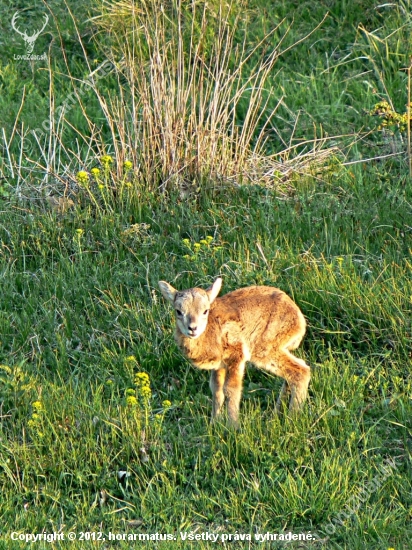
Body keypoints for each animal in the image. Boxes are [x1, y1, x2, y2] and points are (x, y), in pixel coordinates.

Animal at [159, 278, 310, 424]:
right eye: (178, 311)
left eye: (205, 311)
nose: (192, 328)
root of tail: (298, 318)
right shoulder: (219, 366)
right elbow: (216, 389)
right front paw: (214, 424)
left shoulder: (236, 356)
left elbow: (231, 389)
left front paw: (232, 426)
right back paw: (276, 415)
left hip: (265, 349)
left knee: (300, 371)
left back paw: (292, 418)